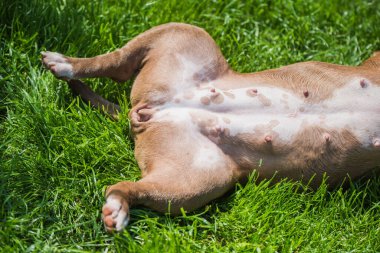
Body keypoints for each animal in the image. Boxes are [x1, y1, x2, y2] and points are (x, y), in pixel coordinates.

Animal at [41, 22, 380, 232]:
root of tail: (146, 111)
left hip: (194, 179)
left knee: (127, 187)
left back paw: (116, 208)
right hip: (185, 35)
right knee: (116, 61)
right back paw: (64, 63)